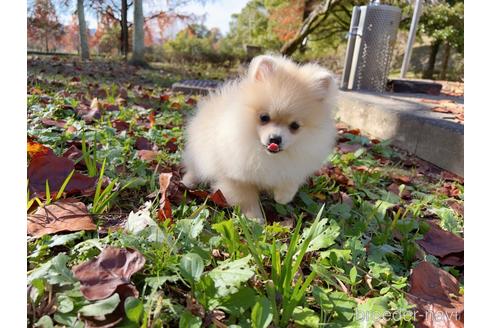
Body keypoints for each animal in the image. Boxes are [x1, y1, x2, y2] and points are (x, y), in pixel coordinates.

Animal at [182, 55, 338, 223]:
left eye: (295, 126)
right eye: (264, 117)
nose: (275, 139)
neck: (263, 154)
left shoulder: (295, 164)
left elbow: (289, 182)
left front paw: (283, 196)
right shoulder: (236, 178)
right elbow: (247, 199)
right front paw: (255, 218)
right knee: (194, 168)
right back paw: (188, 181)